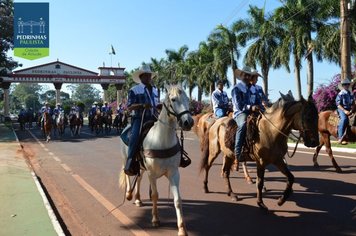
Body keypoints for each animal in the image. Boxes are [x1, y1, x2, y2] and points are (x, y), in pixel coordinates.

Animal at [118, 85, 193, 236]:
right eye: (173, 99)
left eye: (187, 98)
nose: (188, 122)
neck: (161, 140)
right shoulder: (152, 174)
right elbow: (154, 195)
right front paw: (155, 219)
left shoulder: (174, 173)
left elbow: (177, 200)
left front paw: (182, 228)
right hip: (126, 160)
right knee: (128, 174)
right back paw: (129, 194)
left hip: (141, 167)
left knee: (139, 178)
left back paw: (138, 199)